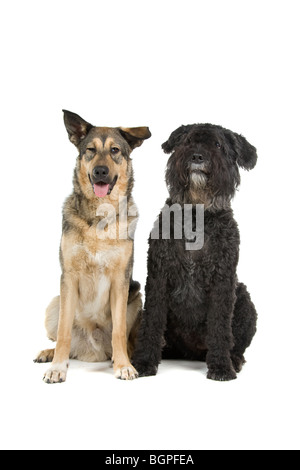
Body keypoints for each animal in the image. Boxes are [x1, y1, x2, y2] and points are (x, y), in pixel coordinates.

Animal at [35, 110, 151, 382]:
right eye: (90, 149)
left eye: (115, 150)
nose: (100, 171)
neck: (100, 215)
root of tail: (90, 350)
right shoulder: (69, 277)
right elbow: (64, 332)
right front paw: (57, 367)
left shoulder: (121, 281)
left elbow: (118, 331)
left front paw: (123, 365)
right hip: (55, 302)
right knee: (63, 337)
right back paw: (49, 353)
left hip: (135, 297)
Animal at [133, 123, 258, 380]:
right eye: (188, 141)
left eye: (218, 145)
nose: (197, 156)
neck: (196, 215)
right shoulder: (159, 277)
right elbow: (152, 321)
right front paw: (144, 362)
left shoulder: (223, 281)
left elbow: (220, 326)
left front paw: (221, 366)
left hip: (244, 299)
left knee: (237, 343)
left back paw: (233, 359)